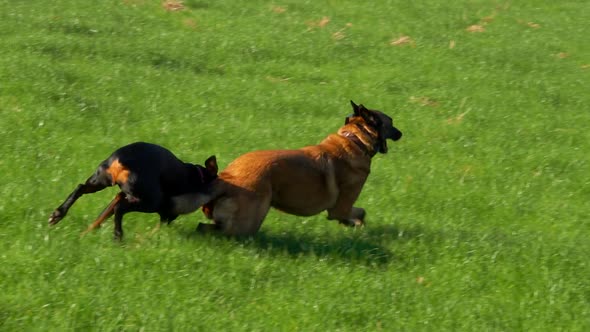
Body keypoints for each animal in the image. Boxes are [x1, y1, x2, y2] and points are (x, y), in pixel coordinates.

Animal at [48, 141, 219, 240]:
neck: (198, 177)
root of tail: (124, 160)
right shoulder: (167, 214)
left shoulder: (120, 194)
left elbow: (101, 217)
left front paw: (85, 234)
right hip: (148, 202)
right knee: (120, 209)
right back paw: (118, 235)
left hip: (101, 180)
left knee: (80, 188)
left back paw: (58, 214)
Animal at [190, 101, 402, 236]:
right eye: (391, 122)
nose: (401, 133)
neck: (354, 139)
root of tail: (226, 179)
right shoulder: (340, 208)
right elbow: (360, 213)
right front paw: (357, 226)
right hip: (248, 221)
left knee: (204, 227)